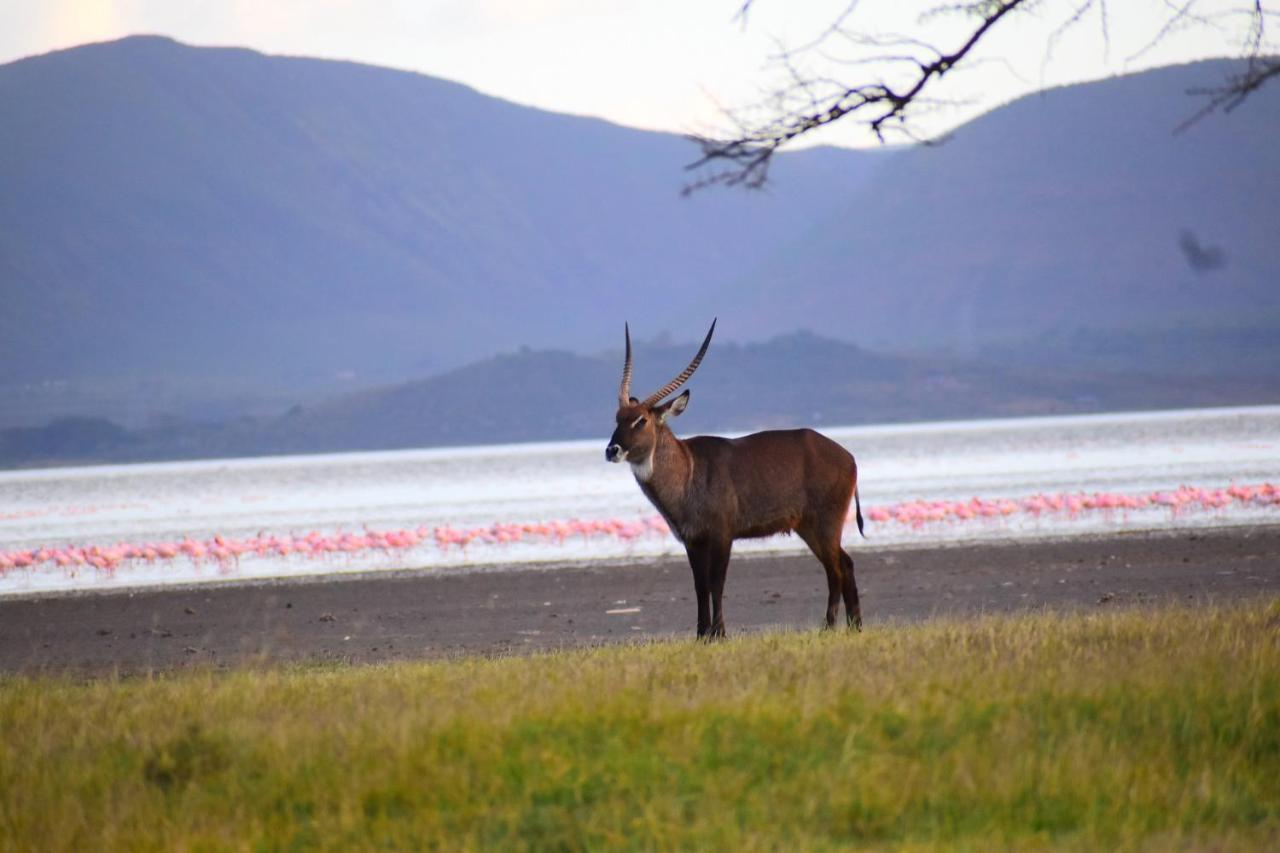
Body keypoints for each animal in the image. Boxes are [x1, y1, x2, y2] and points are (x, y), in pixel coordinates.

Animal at [604, 320, 865, 637]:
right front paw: (702, 635)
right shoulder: (693, 542)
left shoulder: (722, 535)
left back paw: (828, 627)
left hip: (825, 523)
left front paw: (719, 633)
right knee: (845, 564)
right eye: (617, 417)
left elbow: (716, 584)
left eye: (641, 420)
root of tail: (848, 456)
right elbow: (700, 587)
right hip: (809, 527)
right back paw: (854, 627)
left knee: (835, 569)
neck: (689, 471)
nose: (612, 450)